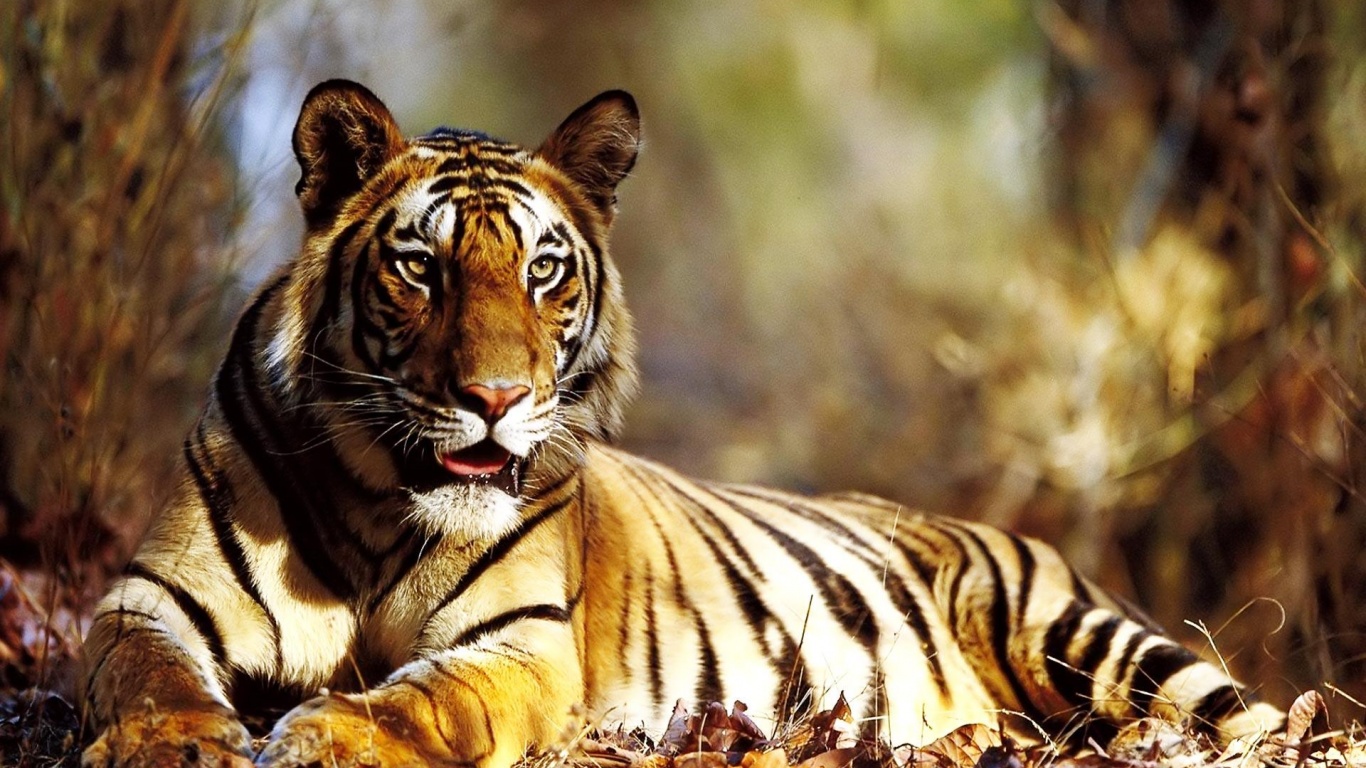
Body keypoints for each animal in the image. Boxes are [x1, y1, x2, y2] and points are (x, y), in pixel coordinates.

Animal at [81, 79, 1285, 768]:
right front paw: (172, 743)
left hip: (1085, 637)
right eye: (421, 269)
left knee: (1255, 719)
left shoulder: (517, 643)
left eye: (543, 270)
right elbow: (146, 675)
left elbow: (417, 702)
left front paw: (327, 733)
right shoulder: (149, 599)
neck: (381, 500)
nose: (495, 399)